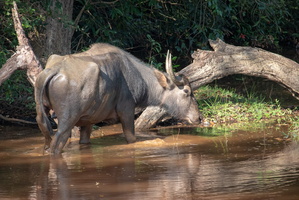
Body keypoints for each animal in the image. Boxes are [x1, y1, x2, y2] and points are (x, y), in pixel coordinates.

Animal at [35, 43, 202, 154]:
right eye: (187, 91)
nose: (198, 118)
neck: (139, 79)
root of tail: (53, 70)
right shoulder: (126, 111)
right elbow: (131, 138)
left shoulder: (87, 121)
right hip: (67, 120)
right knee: (56, 143)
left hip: (43, 115)